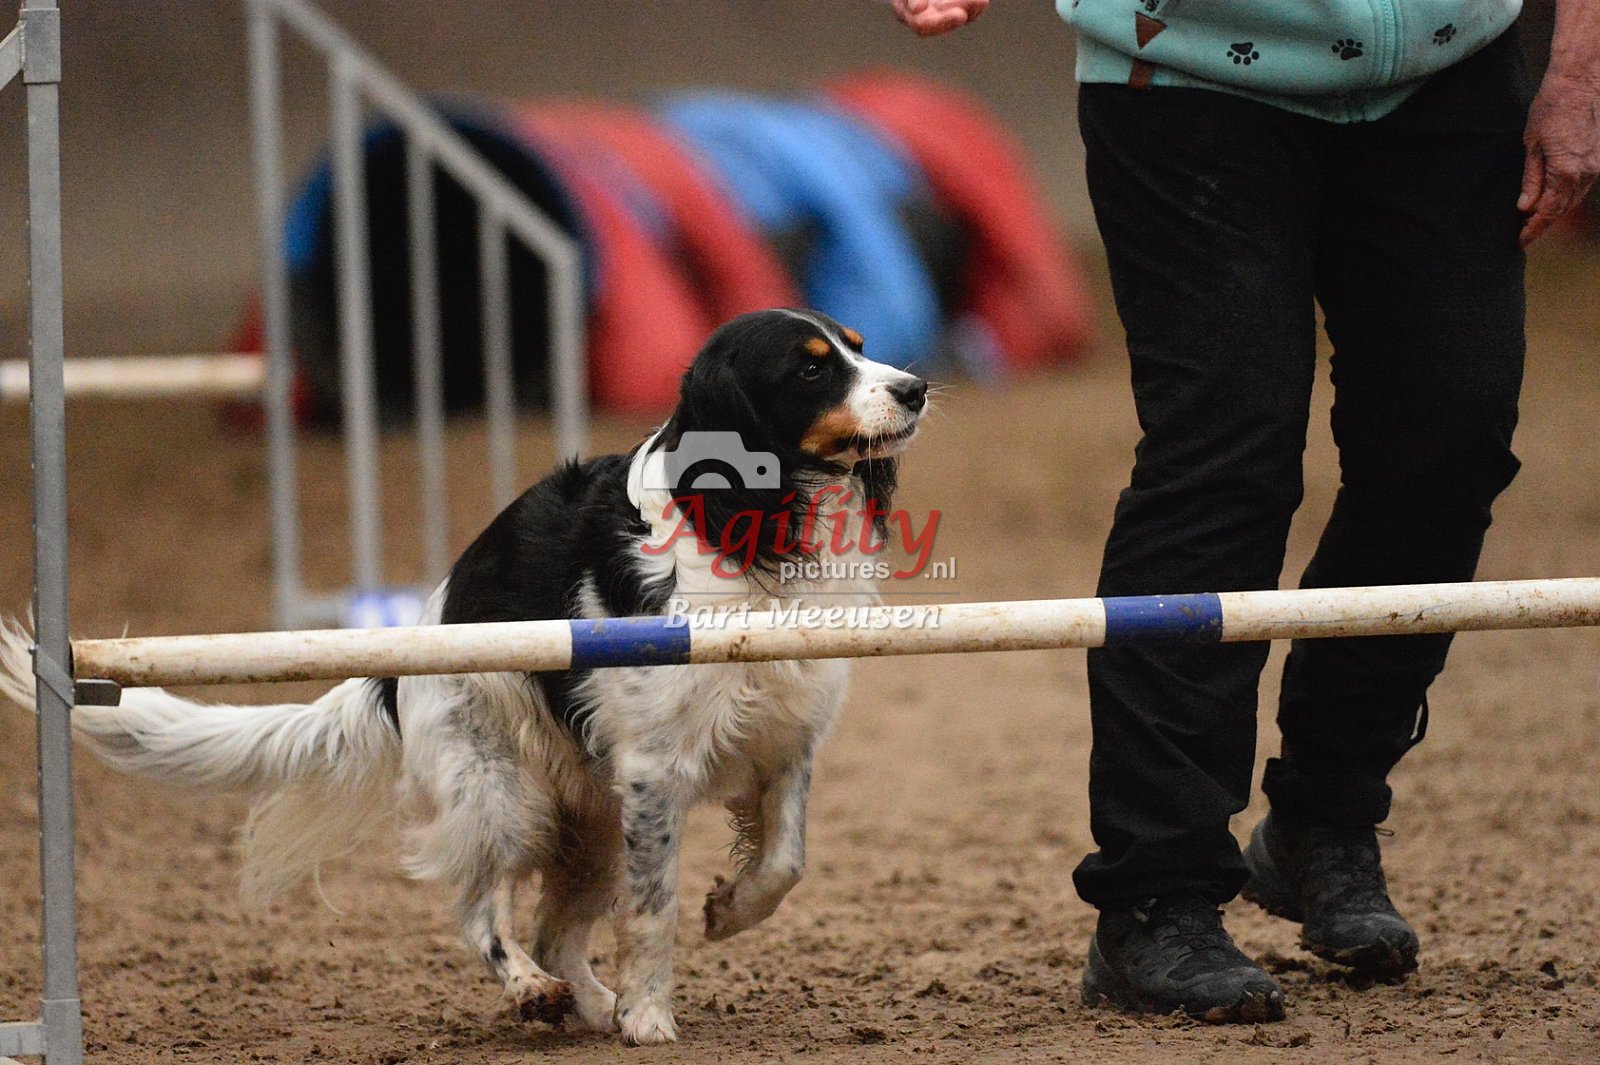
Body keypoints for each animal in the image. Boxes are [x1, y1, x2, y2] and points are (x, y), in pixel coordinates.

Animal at [0, 308, 928, 1046]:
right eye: (812, 366)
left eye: (858, 347)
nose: (917, 386)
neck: (752, 522)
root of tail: (405, 650)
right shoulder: (656, 769)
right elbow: (652, 906)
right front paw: (649, 1015)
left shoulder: (784, 740)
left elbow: (784, 861)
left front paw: (726, 911)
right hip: (498, 793)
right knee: (482, 910)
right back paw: (535, 990)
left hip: (590, 819)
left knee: (554, 930)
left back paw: (583, 1002)